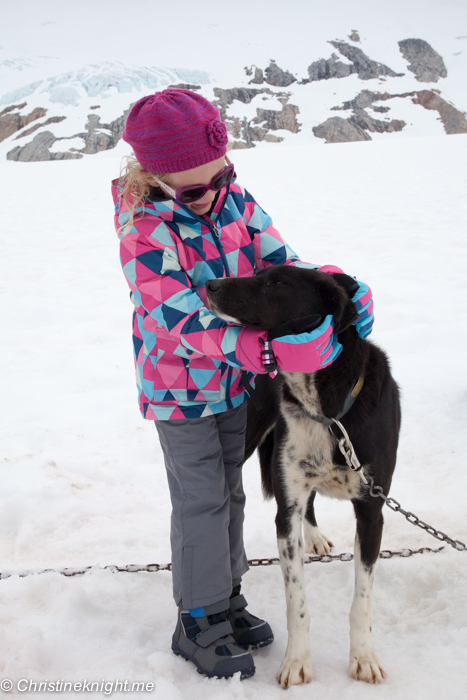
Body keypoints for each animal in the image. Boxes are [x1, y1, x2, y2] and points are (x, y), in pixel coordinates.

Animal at [208, 268, 402, 688]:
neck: (325, 411)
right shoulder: (287, 510)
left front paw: (363, 658)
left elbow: (362, 599)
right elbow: (296, 602)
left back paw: (313, 535)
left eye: (277, 282)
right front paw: (296, 662)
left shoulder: (372, 511)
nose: (210, 284)